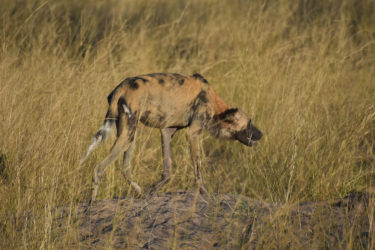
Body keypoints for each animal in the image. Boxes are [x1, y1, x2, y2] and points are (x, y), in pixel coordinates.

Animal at [81, 73, 262, 202]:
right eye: (250, 123)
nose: (261, 134)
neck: (216, 107)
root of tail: (121, 87)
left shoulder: (167, 131)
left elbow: (168, 171)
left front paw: (153, 190)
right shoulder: (193, 133)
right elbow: (198, 171)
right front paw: (205, 193)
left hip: (129, 134)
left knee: (125, 167)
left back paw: (141, 194)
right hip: (128, 134)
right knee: (99, 168)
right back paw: (93, 203)